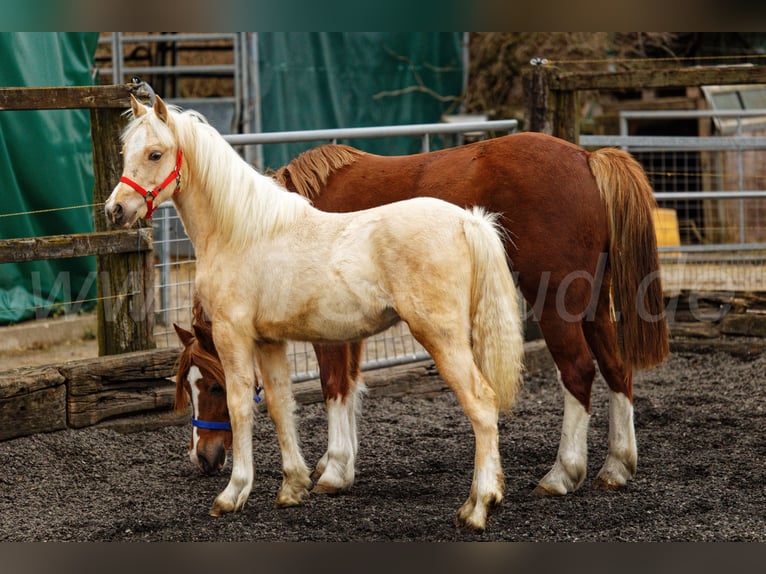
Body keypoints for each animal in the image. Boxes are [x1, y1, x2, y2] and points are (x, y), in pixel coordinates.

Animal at [105, 94, 528, 532]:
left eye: (155, 153)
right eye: (125, 151)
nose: (115, 210)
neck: (243, 233)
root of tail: (468, 221)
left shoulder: (233, 335)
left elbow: (242, 407)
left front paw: (233, 493)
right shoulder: (270, 341)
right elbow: (280, 406)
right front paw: (293, 486)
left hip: (441, 338)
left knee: (481, 403)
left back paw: (478, 506)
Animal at [172, 128, 664, 498]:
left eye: (213, 386)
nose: (202, 457)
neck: (274, 223)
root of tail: (586, 158)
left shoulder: (325, 328)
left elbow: (334, 385)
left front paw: (334, 471)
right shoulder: (348, 324)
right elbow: (351, 386)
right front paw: (337, 462)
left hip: (556, 304)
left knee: (578, 371)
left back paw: (562, 474)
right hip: (595, 302)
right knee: (617, 368)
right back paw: (617, 466)